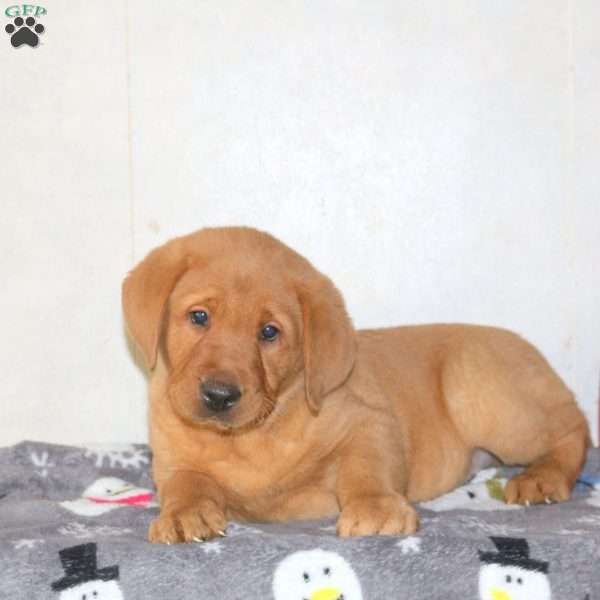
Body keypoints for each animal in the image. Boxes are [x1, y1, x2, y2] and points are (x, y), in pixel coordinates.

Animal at [123, 226, 592, 544]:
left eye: (269, 333)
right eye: (199, 317)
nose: (219, 396)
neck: (246, 439)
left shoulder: (368, 421)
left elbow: (367, 468)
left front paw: (375, 510)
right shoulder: (171, 457)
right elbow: (186, 484)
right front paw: (184, 515)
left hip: (485, 394)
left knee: (574, 427)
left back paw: (542, 478)